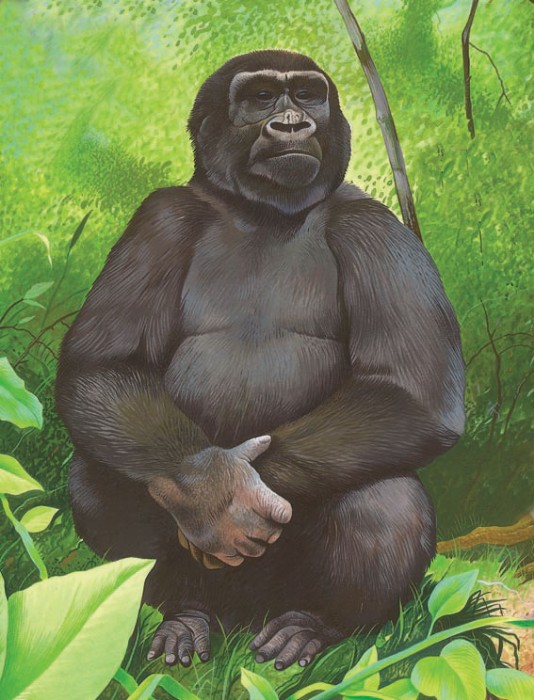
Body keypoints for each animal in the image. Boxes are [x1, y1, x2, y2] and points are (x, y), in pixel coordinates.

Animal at [56, 50, 465, 671]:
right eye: (262, 97)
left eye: (308, 95)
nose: (292, 123)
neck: (260, 210)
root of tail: (243, 619)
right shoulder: (161, 217)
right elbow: (100, 366)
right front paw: (211, 491)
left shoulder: (378, 231)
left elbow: (414, 390)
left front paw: (227, 499)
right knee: (100, 471)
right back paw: (183, 616)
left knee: (386, 498)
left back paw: (312, 626)